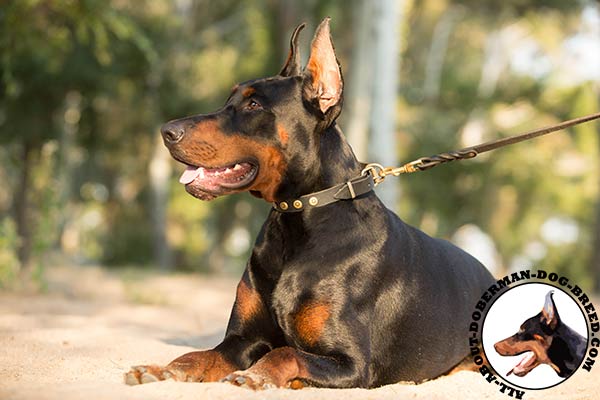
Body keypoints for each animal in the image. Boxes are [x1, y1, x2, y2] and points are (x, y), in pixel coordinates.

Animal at [124, 17, 494, 390]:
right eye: (230, 98)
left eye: (254, 105)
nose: (167, 131)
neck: (301, 217)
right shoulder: (242, 339)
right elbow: (200, 355)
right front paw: (162, 369)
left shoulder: (354, 364)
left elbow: (286, 353)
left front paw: (255, 375)